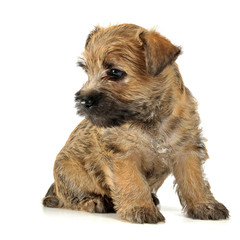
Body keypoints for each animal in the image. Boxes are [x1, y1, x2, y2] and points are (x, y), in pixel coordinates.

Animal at [42, 23, 229, 223]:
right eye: (87, 71)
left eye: (115, 73)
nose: (83, 101)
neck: (150, 117)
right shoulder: (123, 154)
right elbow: (132, 181)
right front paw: (140, 208)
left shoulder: (186, 150)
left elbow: (194, 180)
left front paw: (205, 205)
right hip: (68, 170)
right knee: (70, 198)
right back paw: (95, 201)